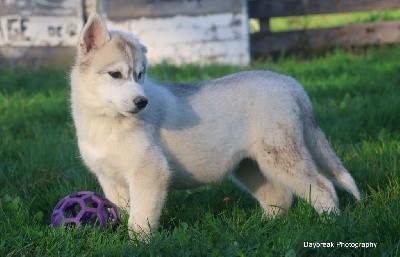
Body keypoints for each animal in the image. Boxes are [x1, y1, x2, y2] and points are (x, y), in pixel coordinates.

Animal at [70, 13, 360, 238]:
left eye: (140, 75)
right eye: (115, 74)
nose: (142, 102)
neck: (107, 122)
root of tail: (289, 82)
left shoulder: (150, 172)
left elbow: (140, 217)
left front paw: (138, 243)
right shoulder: (110, 179)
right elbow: (121, 210)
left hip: (281, 157)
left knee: (322, 186)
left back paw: (329, 224)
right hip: (248, 165)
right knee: (279, 197)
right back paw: (262, 228)